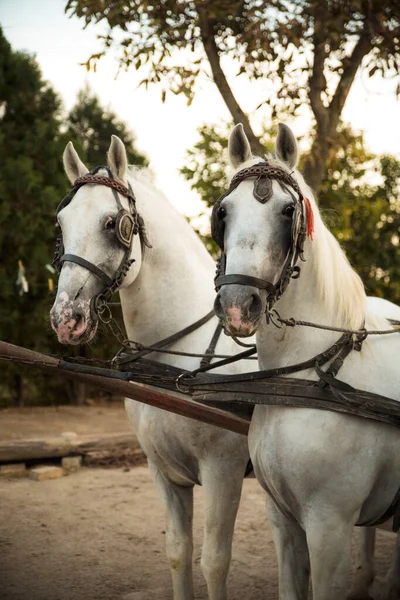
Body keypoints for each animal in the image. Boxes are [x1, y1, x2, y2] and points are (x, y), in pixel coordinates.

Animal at [50, 137, 250, 600]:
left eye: (112, 224)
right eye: (61, 223)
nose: (66, 318)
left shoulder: (224, 471)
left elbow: (214, 562)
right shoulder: (163, 471)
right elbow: (178, 551)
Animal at [212, 123, 400, 600]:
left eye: (286, 212)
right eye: (224, 212)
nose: (238, 305)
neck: (306, 379)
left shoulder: (329, 526)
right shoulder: (284, 522)